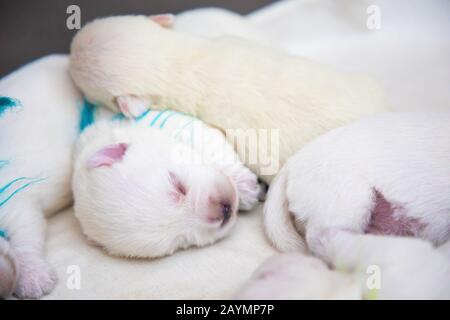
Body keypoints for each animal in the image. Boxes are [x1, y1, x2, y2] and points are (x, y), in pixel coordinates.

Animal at [0, 54, 258, 298]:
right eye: (180, 243)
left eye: (178, 186)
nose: (225, 210)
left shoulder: (163, 119)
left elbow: (209, 139)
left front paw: (245, 186)